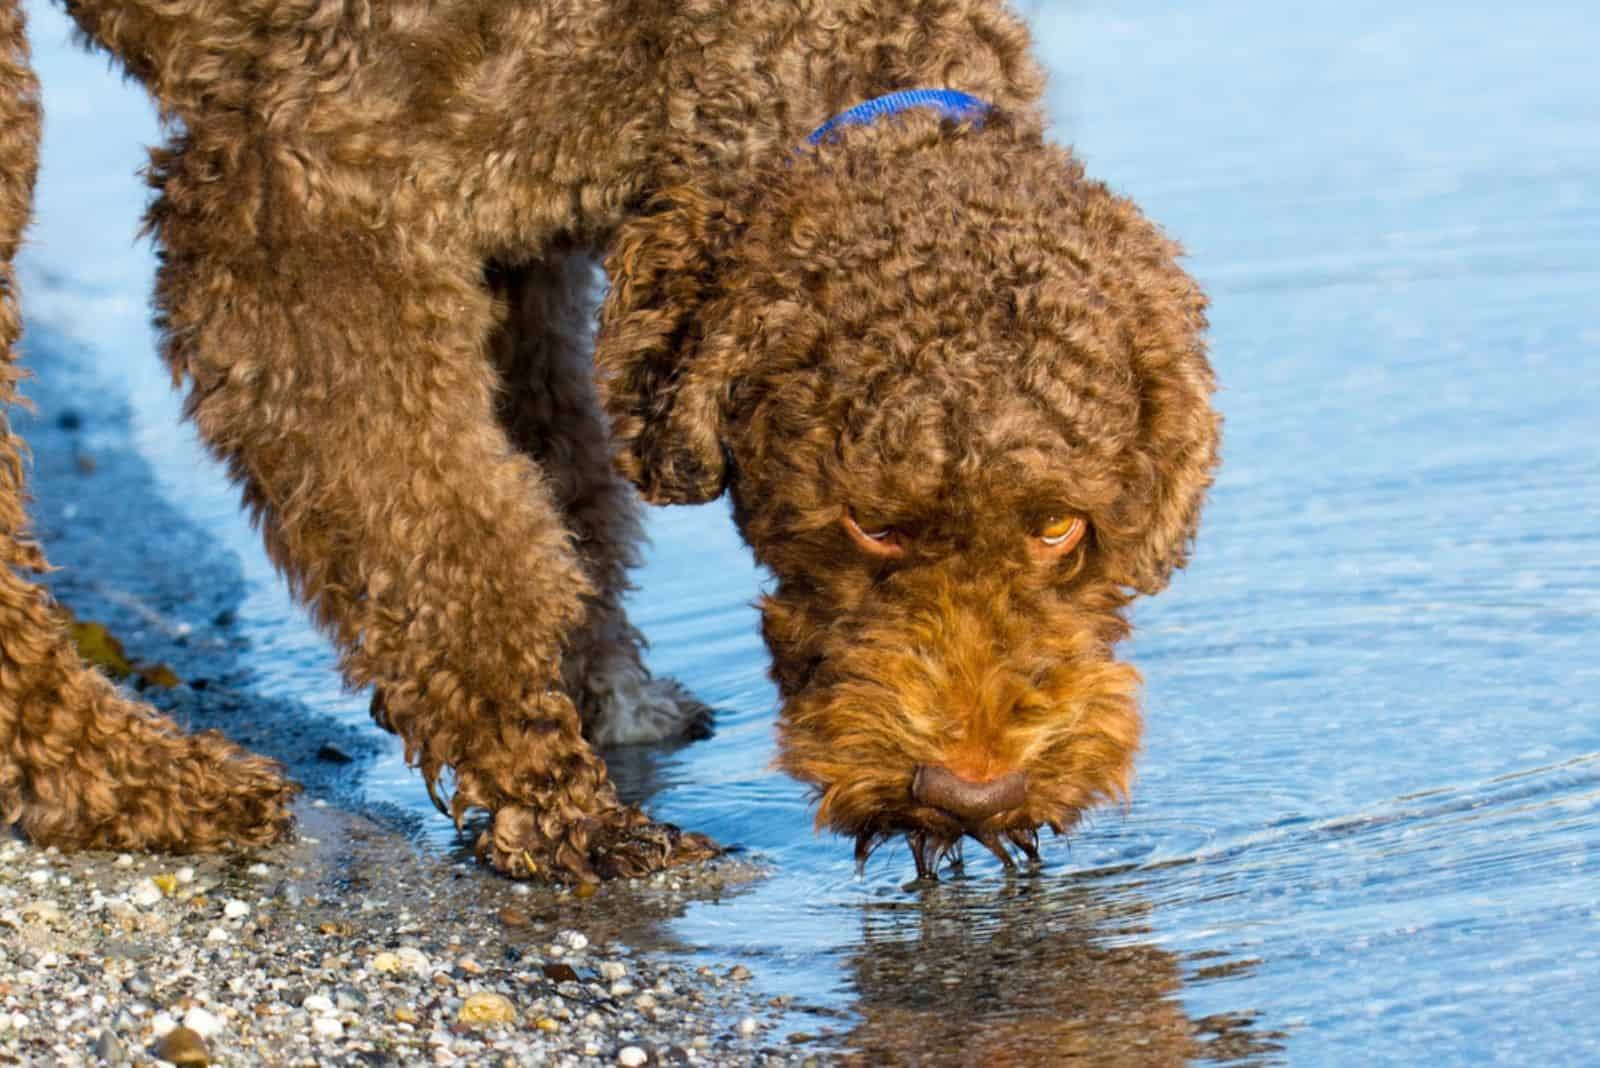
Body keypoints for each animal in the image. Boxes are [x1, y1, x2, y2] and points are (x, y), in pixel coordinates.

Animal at [0, 0, 1216, 882]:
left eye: (1060, 528)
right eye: (870, 526)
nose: (972, 794)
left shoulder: (512, 247)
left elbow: (565, 490)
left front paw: (603, 698)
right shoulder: (303, 208)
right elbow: (453, 540)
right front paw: (557, 804)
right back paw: (131, 779)